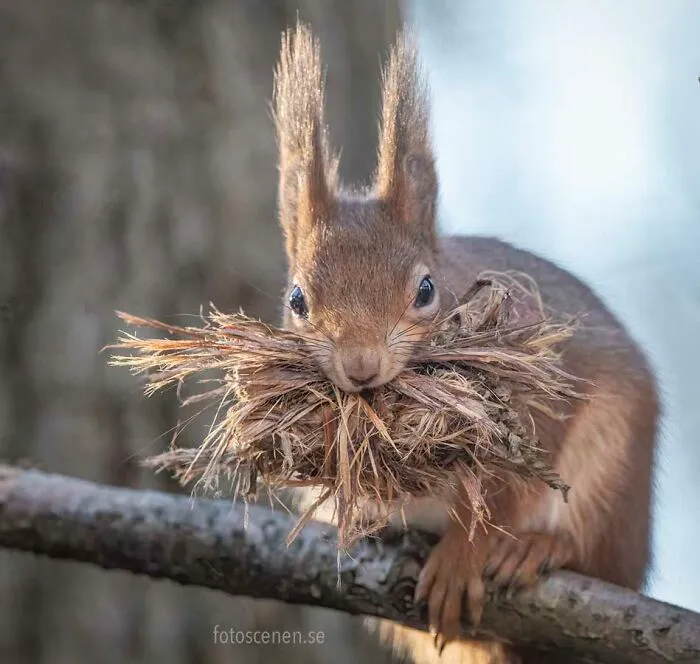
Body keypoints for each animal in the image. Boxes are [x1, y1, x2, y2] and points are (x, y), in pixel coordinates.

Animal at [273, 23, 658, 664]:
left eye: (426, 289)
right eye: (297, 300)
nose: (361, 365)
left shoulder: (534, 400)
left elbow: (507, 489)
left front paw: (464, 551)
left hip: (613, 470)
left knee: (595, 552)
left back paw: (540, 547)